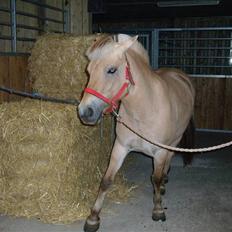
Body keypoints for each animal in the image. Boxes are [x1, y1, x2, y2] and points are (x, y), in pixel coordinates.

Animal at [78, 34, 196, 232]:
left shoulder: (159, 151)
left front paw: (158, 209)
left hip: (174, 141)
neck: (144, 110)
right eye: (89, 71)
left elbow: (156, 178)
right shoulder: (120, 147)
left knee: (168, 161)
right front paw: (93, 218)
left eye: (111, 70)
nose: (85, 112)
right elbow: (106, 181)